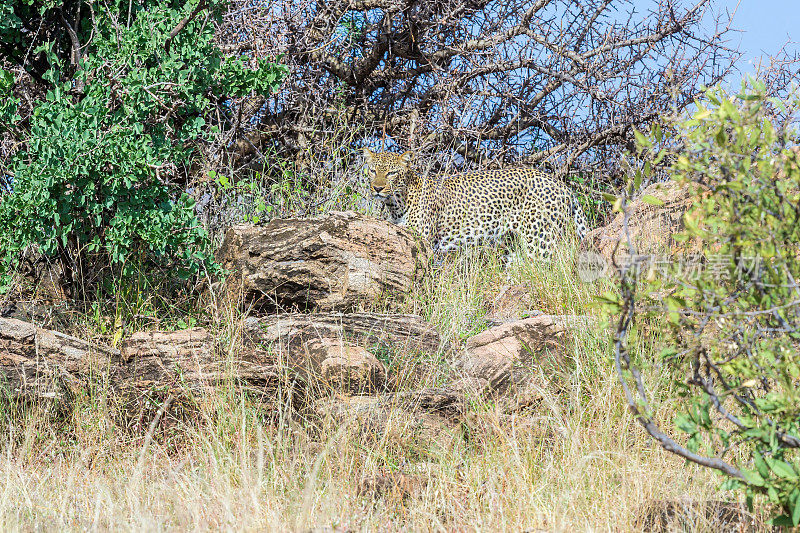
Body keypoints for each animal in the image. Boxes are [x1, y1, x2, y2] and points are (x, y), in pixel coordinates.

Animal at [362, 148, 588, 260]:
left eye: (391, 173)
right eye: (372, 171)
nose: (377, 188)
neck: (397, 203)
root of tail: (562, 185)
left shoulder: (423, 237)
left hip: (540, 238)